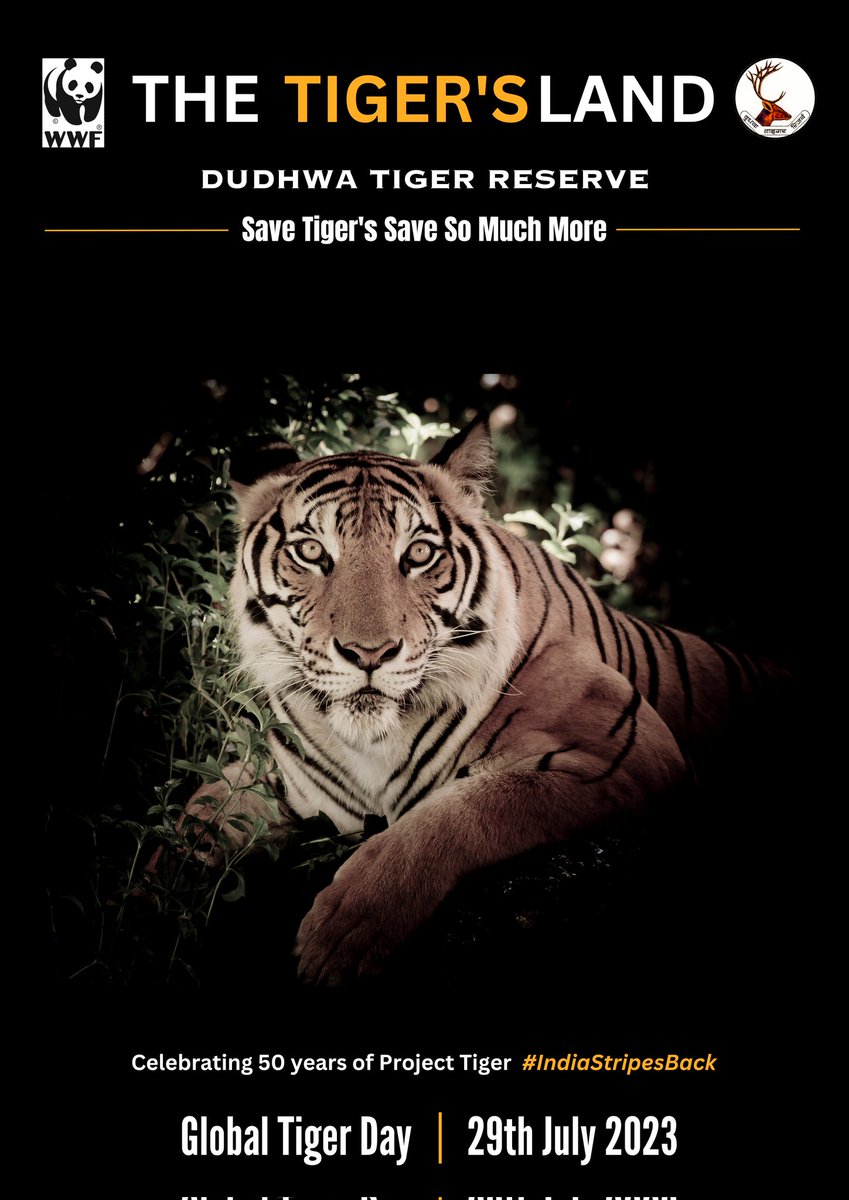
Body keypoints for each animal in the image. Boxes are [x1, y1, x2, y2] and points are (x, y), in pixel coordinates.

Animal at [181, 417, 776, 986]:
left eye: (419, 554)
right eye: (310, 551)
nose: (369, 653)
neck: (372, 743)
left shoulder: (631, 752)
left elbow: (468, 810)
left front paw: (343, 928)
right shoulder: (281, 779)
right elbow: (202, 812)